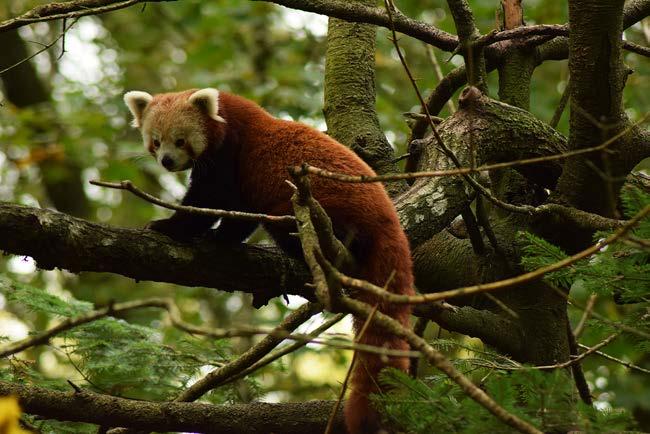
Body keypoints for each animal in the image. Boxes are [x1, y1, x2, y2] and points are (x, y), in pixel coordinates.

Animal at [124, 88, 412, 434]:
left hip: (320, 204)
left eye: (180, 141)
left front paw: (171, 227)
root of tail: (388, 218)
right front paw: (221, 236)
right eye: (156, 141)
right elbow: (239, 210)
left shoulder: (230, 157)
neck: (231, 116)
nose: (166, 160)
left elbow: (213, 200)